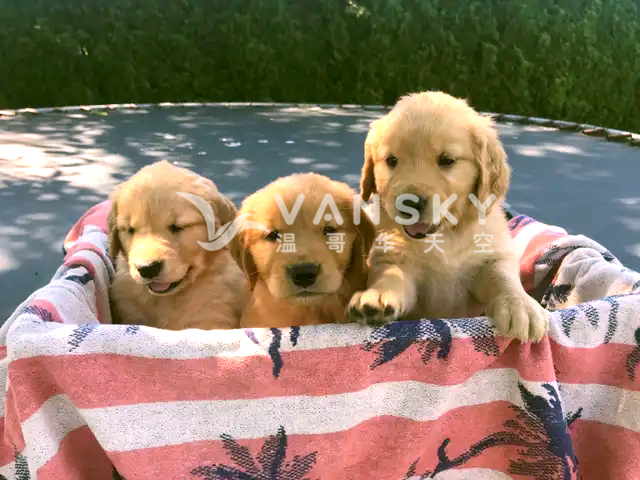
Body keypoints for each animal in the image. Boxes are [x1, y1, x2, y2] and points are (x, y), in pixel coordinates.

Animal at [347, 91, 549, 342]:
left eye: (446, 160)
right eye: (391, 161)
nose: (409, 203)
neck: (445, 236)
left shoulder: (492, 256)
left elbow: (502, 276)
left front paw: (521, 305)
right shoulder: (395, 259)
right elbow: (391, 276)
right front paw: (376, 296)